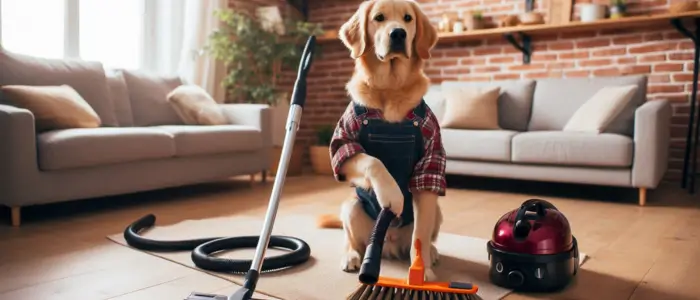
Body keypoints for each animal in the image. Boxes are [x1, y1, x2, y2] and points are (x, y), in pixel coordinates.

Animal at [316, 0, 442, 282]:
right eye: (379, 18)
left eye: (408, 19)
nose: (398, 34)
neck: (390, 88)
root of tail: (388, 242)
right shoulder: (343, 145)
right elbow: (371, 160)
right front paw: (392, 194)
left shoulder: (430, 163)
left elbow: (420, 235)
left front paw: (423, 273)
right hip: (351, 206)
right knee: (352, 242)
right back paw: (351, 257)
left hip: (437, 211)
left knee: (424, 238)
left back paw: (433, 253)